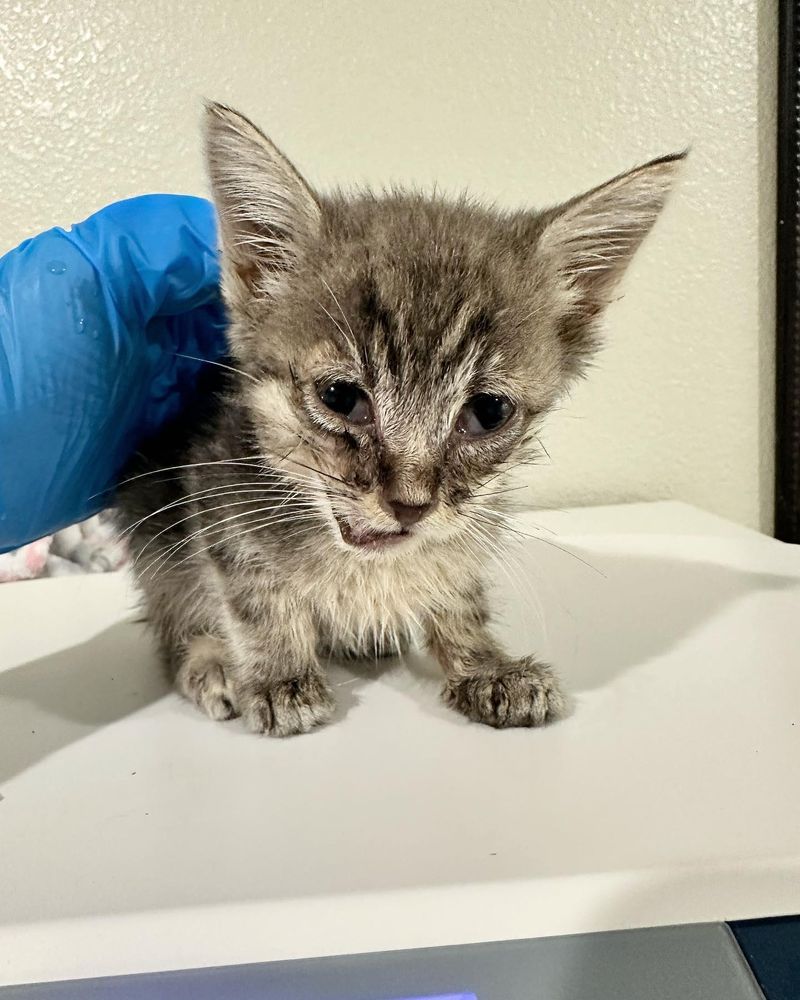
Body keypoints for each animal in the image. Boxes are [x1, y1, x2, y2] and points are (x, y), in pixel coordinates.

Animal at [117, 103, 680, 736]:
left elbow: (457, 585)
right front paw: (279, 674)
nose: (410, 504)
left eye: (488, 412)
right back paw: (208, 662)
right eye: (340, 398)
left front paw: (483, 663)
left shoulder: (468, 520)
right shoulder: (215, 480)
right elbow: (253, 591)